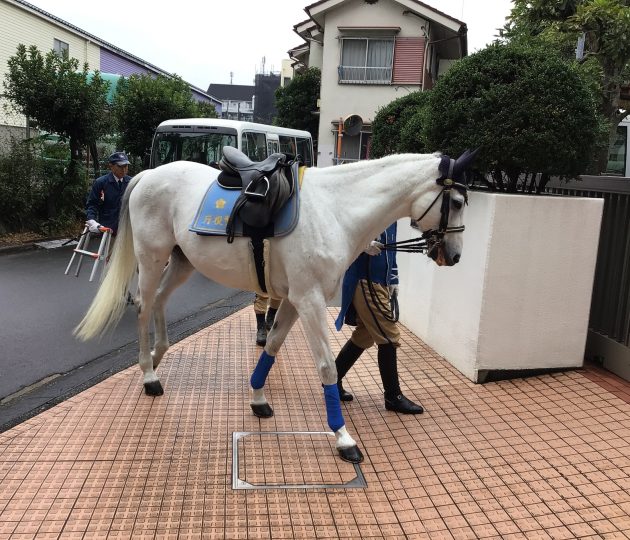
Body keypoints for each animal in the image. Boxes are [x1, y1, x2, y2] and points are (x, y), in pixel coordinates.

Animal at [76, 150, 476, 462]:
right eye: (456, 203)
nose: (454, 256)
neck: (336, 209)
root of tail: (148, 174)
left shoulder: (295, 301)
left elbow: (271, 345)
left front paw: (257, 398)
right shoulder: (310, 300)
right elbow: (327, 367)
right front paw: (343, 437)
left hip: (181, 262)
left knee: (158, 300)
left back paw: (158, 356)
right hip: (151, 258)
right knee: (144, 306)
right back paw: (148, 374)